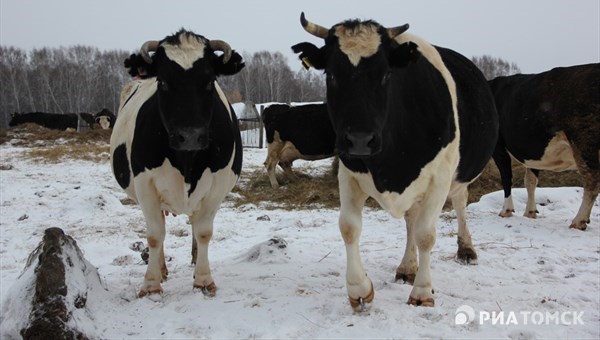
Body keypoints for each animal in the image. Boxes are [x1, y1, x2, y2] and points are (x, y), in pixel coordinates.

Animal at [110, 29, 244, 298]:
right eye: (162, 82)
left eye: (210, 81)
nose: (190, 135)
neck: (186, 163)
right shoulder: (145, 184)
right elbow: (154, 235)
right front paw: (151, 284)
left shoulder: (217, 186)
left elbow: (203, 231)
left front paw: (203, 280)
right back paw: (161, 269)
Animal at [292, 13, 500, 310]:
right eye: (331, 74)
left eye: (386, 75)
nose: (359, 139)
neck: (391, 165)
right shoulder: (349, 173)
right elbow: (349, 227)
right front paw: (359, 289)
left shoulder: (440, 177)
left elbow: (426, 234)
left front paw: (422, 292)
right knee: (411, 219)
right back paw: (407, 267)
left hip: (458, 176)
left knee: (459, 202)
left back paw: (466, 249)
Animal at [490, 62, 596, 230]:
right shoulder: (532, 152)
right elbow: (530, 181)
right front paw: (530, 212)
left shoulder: (499, 148)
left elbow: (506, 178)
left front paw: (506, 210)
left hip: (584, 142)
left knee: (591, 181)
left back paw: (579, 220)